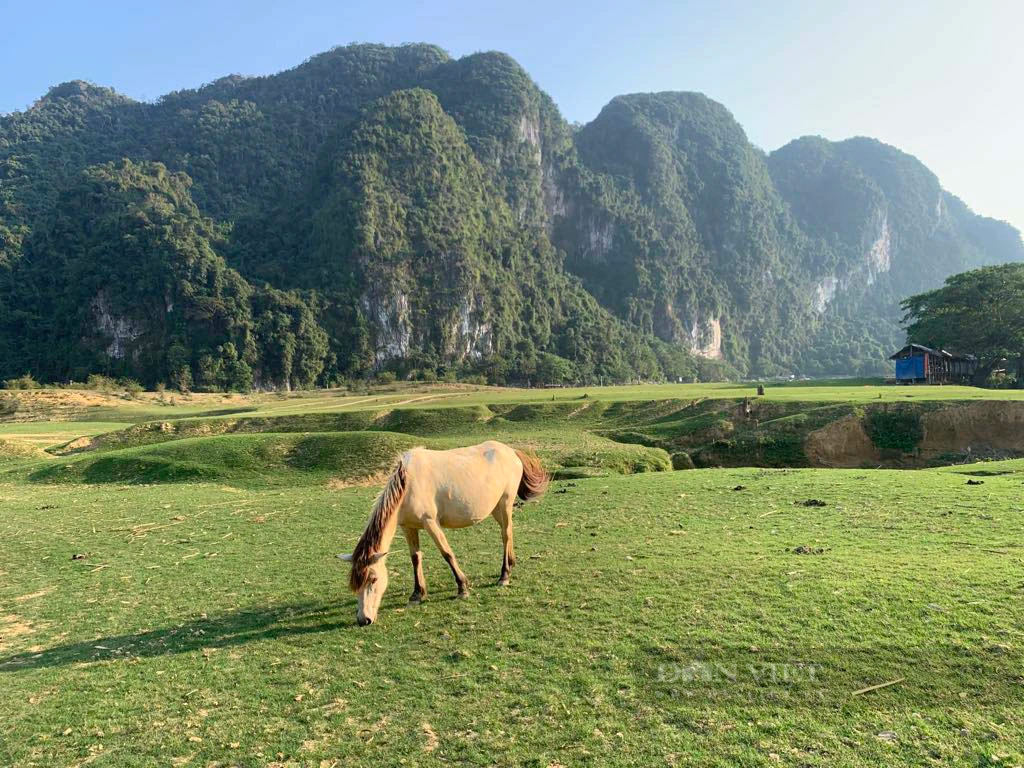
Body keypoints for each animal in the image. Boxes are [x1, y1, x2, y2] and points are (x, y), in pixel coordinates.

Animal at [337, 442, 548, 626]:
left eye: (373, 579)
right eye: (354, 584)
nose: (364, 620)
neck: (408, 485)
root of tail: (511, 452)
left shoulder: (431, 522)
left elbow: (446, 553)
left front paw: (462, 588)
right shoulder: (408, 527)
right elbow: (415, 558)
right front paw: (417, 594)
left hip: (505, 504)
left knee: (505, 535)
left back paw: (504, 576)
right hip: (496, 508)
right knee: (508, 533)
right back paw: (511, 564)